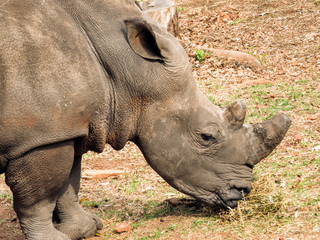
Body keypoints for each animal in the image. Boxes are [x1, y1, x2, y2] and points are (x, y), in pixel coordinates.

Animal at [0, 0, 290, 240]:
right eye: (207, 136)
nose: (242, 191)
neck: (131, 69)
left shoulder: (70, 127)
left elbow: (69, 184)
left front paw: (85, 229)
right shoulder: (41, 137)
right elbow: (38, 199)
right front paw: (54, 238)